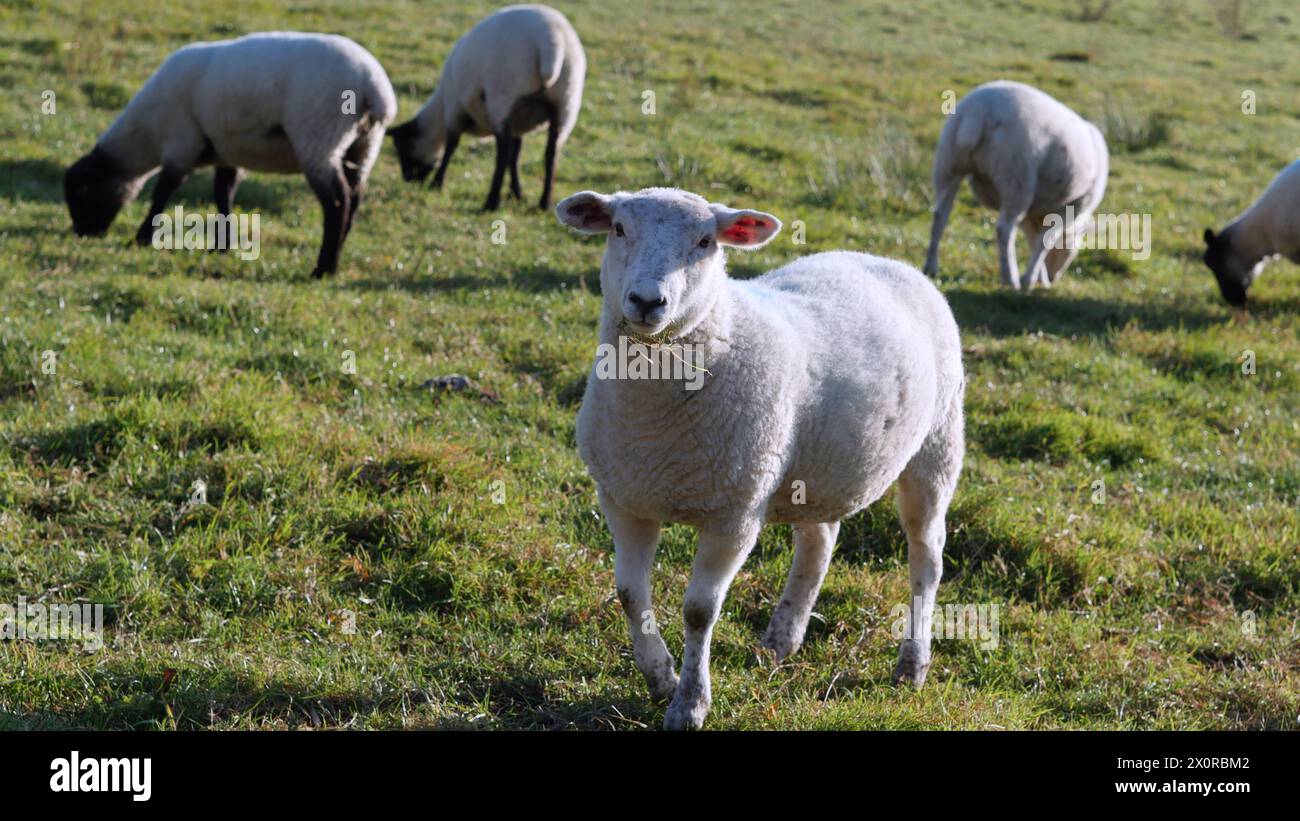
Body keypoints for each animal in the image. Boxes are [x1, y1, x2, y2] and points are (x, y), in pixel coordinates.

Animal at [64, 32, 395, 277]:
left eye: (82, 193)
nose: (83, 233)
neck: (146, 135)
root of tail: (373, 88)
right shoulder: (226, 153)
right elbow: (223, 196)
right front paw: (221, 247)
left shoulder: (181, 141)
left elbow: (162, 192)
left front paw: (142, 238)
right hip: (363, 146)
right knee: (354, 198)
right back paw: (335, 256)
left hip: (318, 137)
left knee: (337, 203)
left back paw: (323, 268)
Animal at [387, 4, 587, 210]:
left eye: (401, 148)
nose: (409, 180)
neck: (440, 109)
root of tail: (551, 38)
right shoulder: (518, 121)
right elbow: (515, 155)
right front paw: (516, 193)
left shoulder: (454, 109)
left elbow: (451, 146)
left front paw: (437, 183)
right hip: (566, 103)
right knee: (551, 154)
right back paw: (545, 202)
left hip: (503, 93)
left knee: (502, 153)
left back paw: (491, 201)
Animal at [925, 80, 1107, 289]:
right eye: (1074, 249)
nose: (1053, 277)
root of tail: (978, 110)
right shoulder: (1073, 205)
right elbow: (1045, 242)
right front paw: (1030, 280)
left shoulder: (1032, 211)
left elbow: (1034, 240)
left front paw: (1037, 277)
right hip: (1017, 177)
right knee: (1004, 229)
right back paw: (1009, 278)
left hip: (949, 163)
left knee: (940, 215)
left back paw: (931, 266)